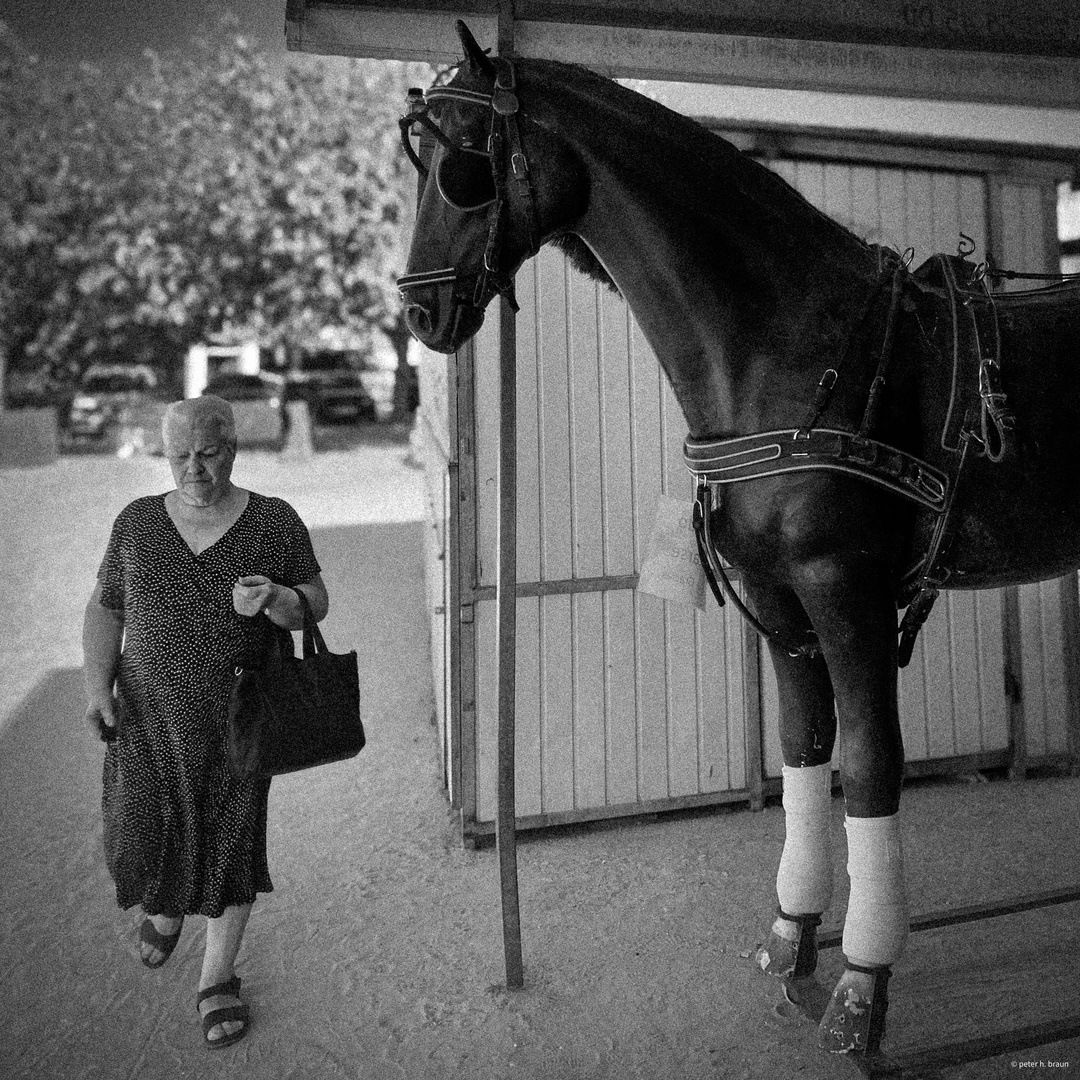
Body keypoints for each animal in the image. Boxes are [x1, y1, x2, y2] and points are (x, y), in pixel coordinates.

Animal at [401, 21, 1080, 1058]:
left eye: (464, 166)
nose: (418, 311)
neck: (785, 346)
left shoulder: (846, 588)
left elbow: (867, 763)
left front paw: (862, 987)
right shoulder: (777, 594)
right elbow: (804, 751)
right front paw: (793, 939)